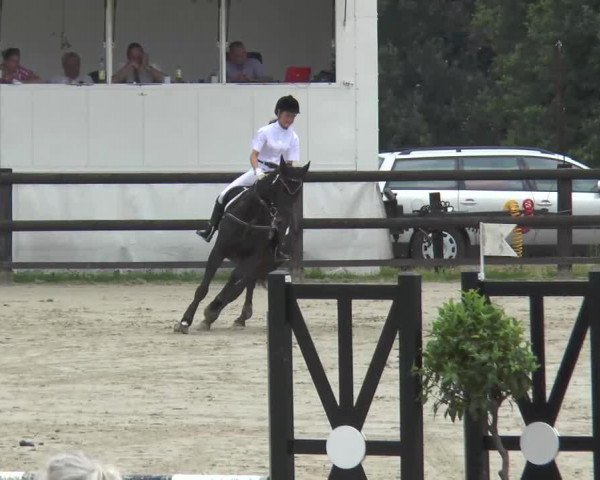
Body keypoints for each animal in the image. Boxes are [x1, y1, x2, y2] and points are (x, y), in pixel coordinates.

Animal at [173, 158, 310, 334]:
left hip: (265, 264)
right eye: (280, 187)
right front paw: (184, 322)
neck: (251, 217)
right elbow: (203, 288)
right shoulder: (218, 251)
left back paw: (221, 313)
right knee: (246, 284)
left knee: (241, 285)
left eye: (297, 193)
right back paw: (237, 317)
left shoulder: (252, 258)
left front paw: (211, 310)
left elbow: (234, 281)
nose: (282, 222)